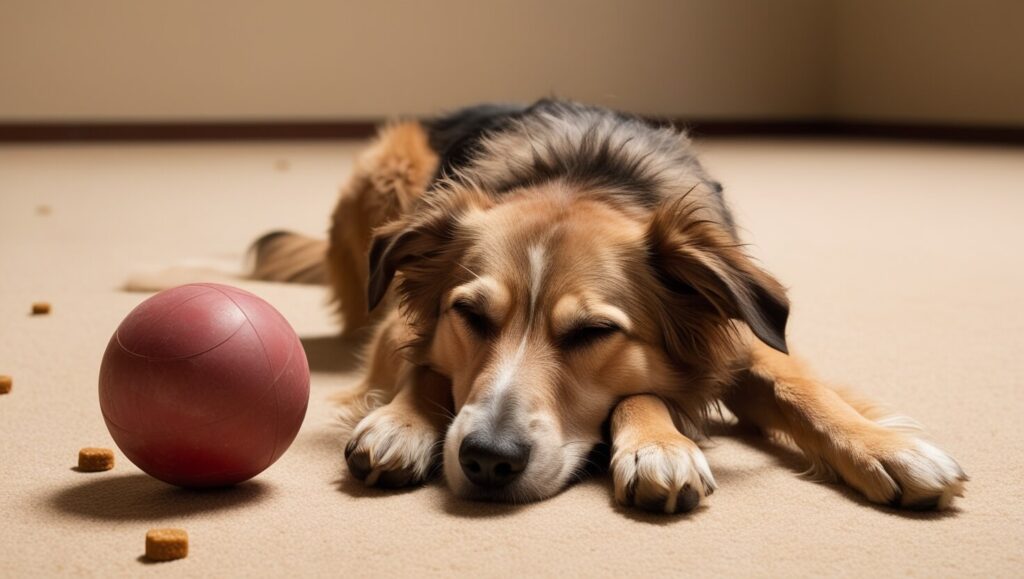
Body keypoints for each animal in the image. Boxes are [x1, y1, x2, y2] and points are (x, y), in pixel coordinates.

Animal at [249, 101, 966, 512]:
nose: (487, 458)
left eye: (593, 332)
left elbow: (799, 389)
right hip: (389, 166)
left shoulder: (742, 337)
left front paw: (887, 449)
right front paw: (401, 423)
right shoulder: (400, 318)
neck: (583, 173)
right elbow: (421, 364)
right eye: (471, 317)